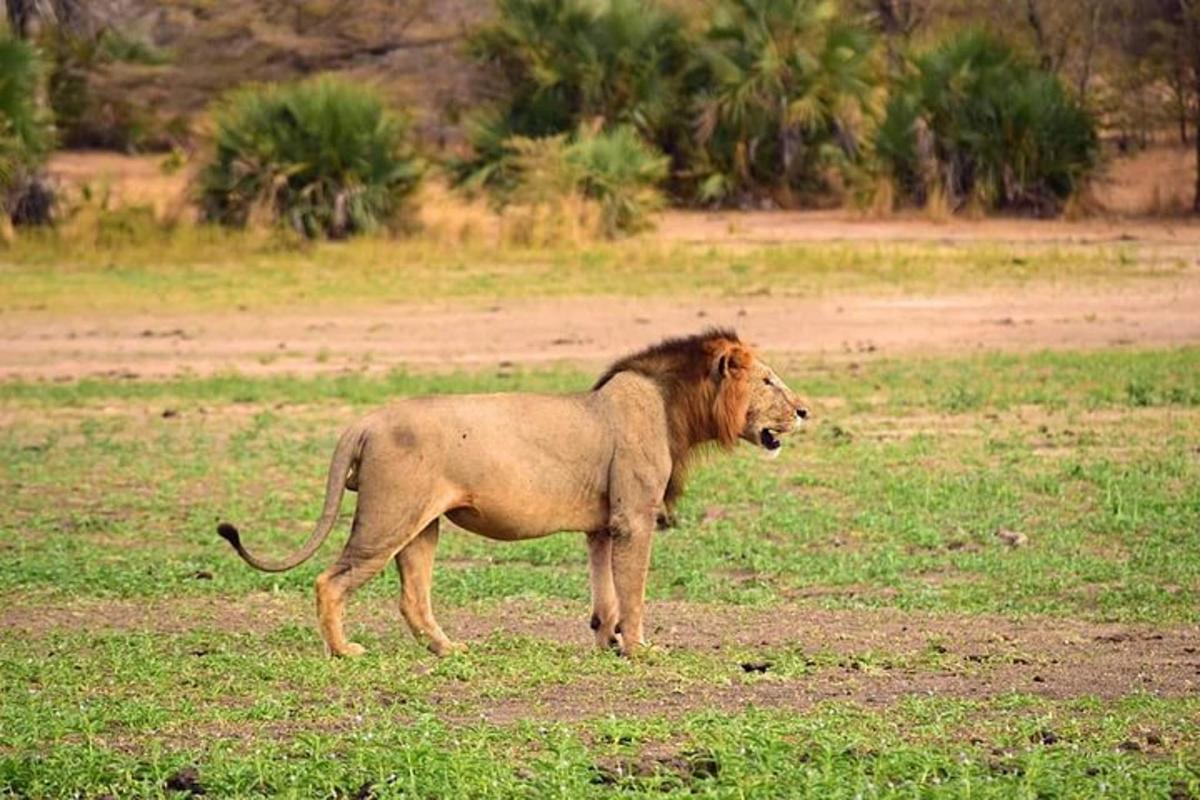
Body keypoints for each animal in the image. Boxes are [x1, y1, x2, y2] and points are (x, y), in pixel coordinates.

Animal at [220, 331, 811, 657]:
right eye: (768, 381)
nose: (806, 410)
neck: (673, 408)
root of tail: (362, 422)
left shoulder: (603, 526)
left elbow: (605, 594)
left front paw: (608, 643)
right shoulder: (635, 519)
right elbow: (635, 592)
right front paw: (643, 649)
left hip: (421, 526)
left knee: (413, 597)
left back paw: (449, 650)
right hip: (388, 518)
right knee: (330, 581)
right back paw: (345, 651)